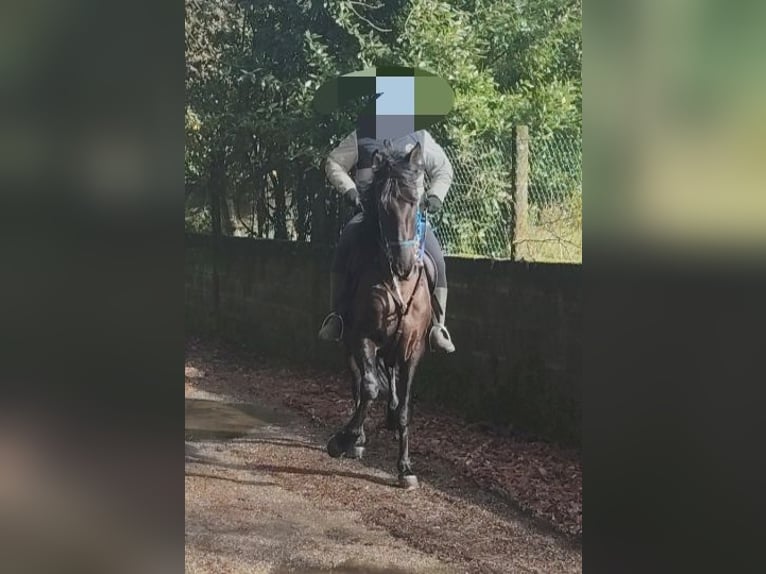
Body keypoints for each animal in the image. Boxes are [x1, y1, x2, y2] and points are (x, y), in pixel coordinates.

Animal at [326, 142, 434, 489]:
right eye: (383, 205)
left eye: (416, 201)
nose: (404, 263)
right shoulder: (363, 337)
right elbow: (369, 388)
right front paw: (344, 440)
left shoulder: (413, 349)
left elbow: (406, 409)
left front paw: (406, 468)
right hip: (349, 341)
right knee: (359, 382)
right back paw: (356, 438)